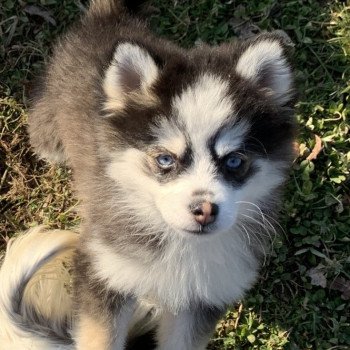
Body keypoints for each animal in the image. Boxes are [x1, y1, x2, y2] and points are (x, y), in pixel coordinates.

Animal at [0, 0, 296, 348]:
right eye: (165, 159)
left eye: (235, 162)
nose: (204, 210)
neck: (178, 243)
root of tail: (113, 18)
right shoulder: (105, 272)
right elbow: (100, 338)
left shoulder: (205, 296)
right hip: (49, 130)